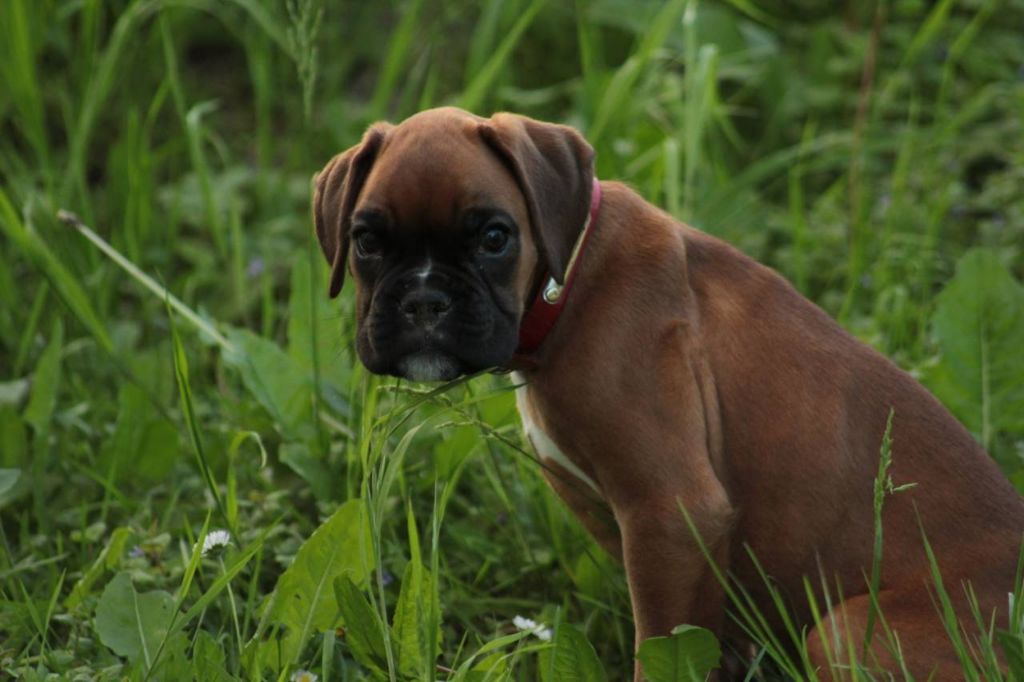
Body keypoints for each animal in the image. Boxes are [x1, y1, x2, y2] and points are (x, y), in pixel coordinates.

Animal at [311, 106, 1024, 675]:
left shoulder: (671, 515)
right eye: (366, 241)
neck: (571, 280)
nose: (424, 301)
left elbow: (659, 646)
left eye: (494, 237)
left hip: (847, 634)